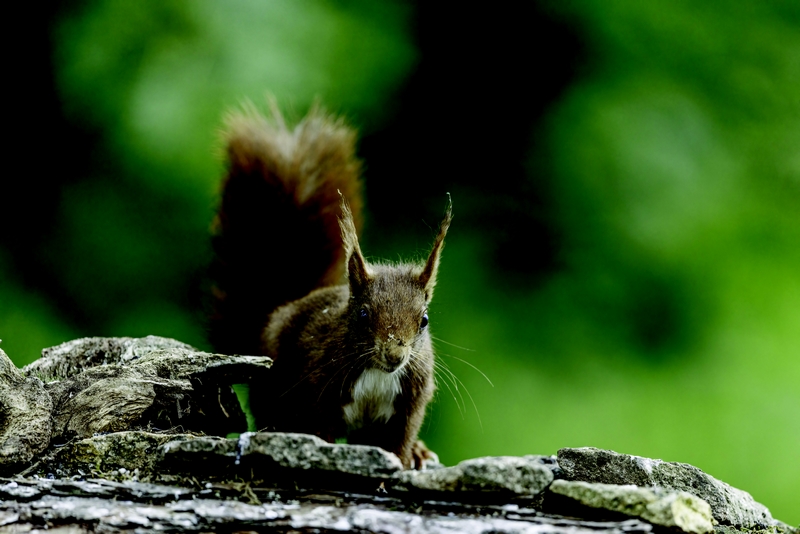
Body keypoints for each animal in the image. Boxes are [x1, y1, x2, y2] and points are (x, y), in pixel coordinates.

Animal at [209, 103, 450, 468]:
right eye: (362, 315)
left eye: (424, 320)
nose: (395, 354)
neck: (378, 372)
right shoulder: (317, 387)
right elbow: (319, 431)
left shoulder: (411, 397)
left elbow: (400, 440)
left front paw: (407, 458)